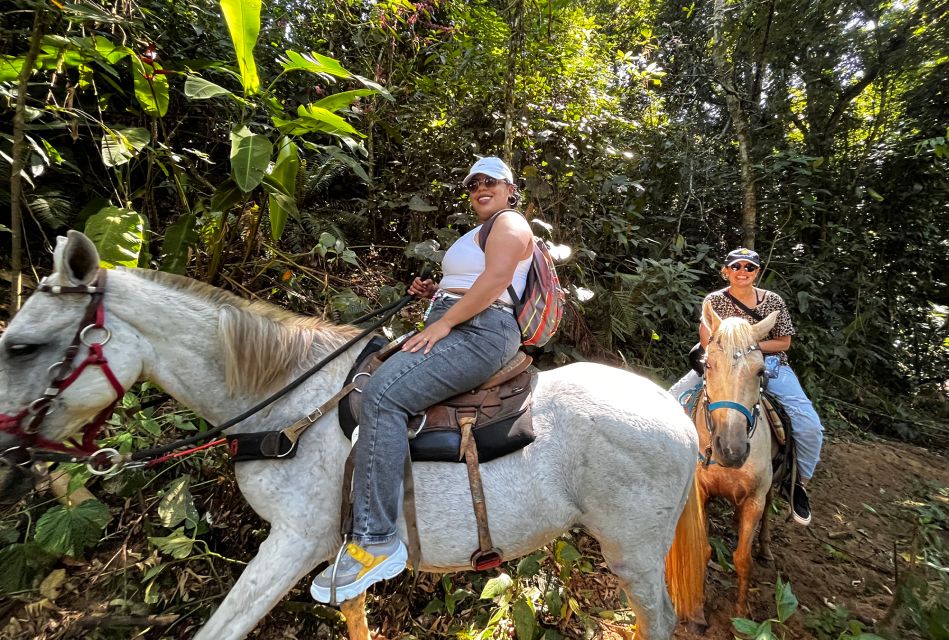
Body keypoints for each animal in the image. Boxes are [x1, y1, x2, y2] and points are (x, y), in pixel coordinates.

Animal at [0, 232, 708, 640]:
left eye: (20, 347)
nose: (7, 457)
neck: (285, 402)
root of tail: (672, 409)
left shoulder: (295, 541)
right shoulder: (337, 558)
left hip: (633, 549)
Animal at [684, 302, 780, 624]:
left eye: (761, 371)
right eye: (708, 365)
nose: (731, 450)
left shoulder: (754, 499)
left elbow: (743, 560)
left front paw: (741, 617)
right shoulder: (699, 492)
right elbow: (702, 549)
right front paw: (698, 611)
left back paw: (765, 548)